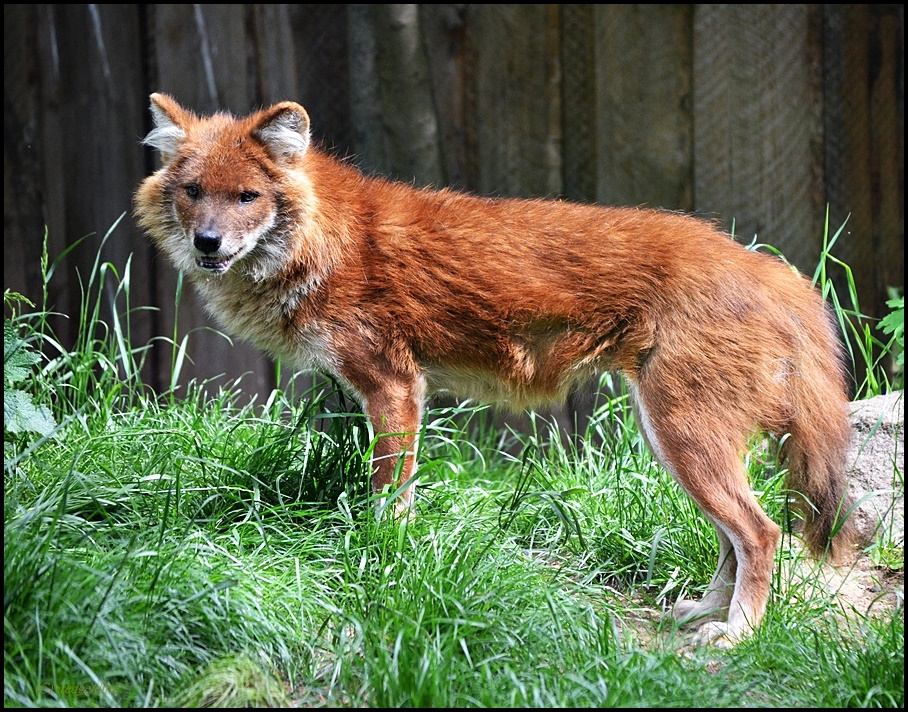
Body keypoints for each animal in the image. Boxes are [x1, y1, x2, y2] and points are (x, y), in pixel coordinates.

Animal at [137, 93, 860, 644]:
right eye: (193, 192)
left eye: (247, 196)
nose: (207, 243)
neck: (326, 241)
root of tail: (770, 268)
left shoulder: (393, 385)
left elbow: (388, 502)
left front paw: (382, 562)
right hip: (673, 434)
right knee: (733, 536)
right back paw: (703, 612)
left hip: (683, 432)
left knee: (761, 532)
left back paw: (736, 634)